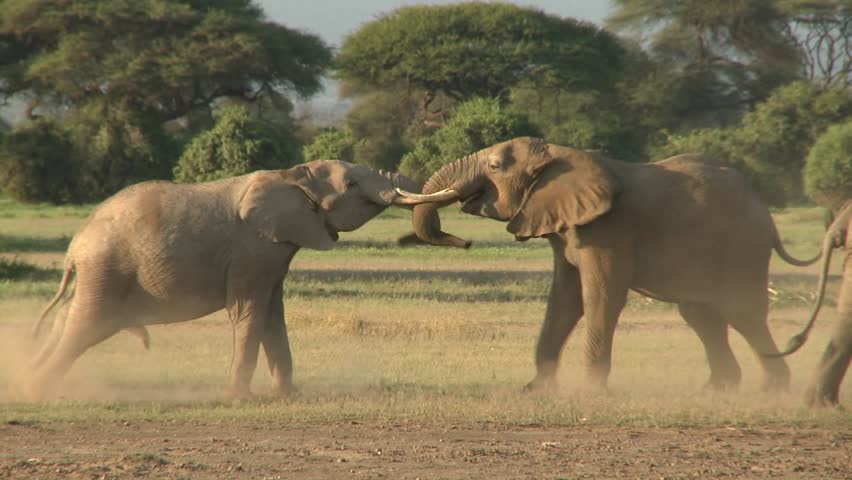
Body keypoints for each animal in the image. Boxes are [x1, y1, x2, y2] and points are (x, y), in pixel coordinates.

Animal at [25, 159, 424, 400]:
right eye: (352, 183)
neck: (292, 176)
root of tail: (74, 249)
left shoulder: (273, 252)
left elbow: (272, 315)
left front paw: (287, 397)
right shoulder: (252, 248)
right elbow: (249, 311)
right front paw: (240, 399)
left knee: (70, 317)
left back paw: (29, 378)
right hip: (107, 270)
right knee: (86, 325)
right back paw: (36, 390)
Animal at [398, 137, 820, 392]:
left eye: (496, 165)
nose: (465, 241)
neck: (559, 154)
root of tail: (766, 213)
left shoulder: (609, 230)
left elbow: (600, 296)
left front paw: (590, 392)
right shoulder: (567, 228)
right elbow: (564, 300)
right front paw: (536, 391)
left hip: (742, 249)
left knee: (742, 313)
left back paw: (773, 390)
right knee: (702, 315)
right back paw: (717, 391)